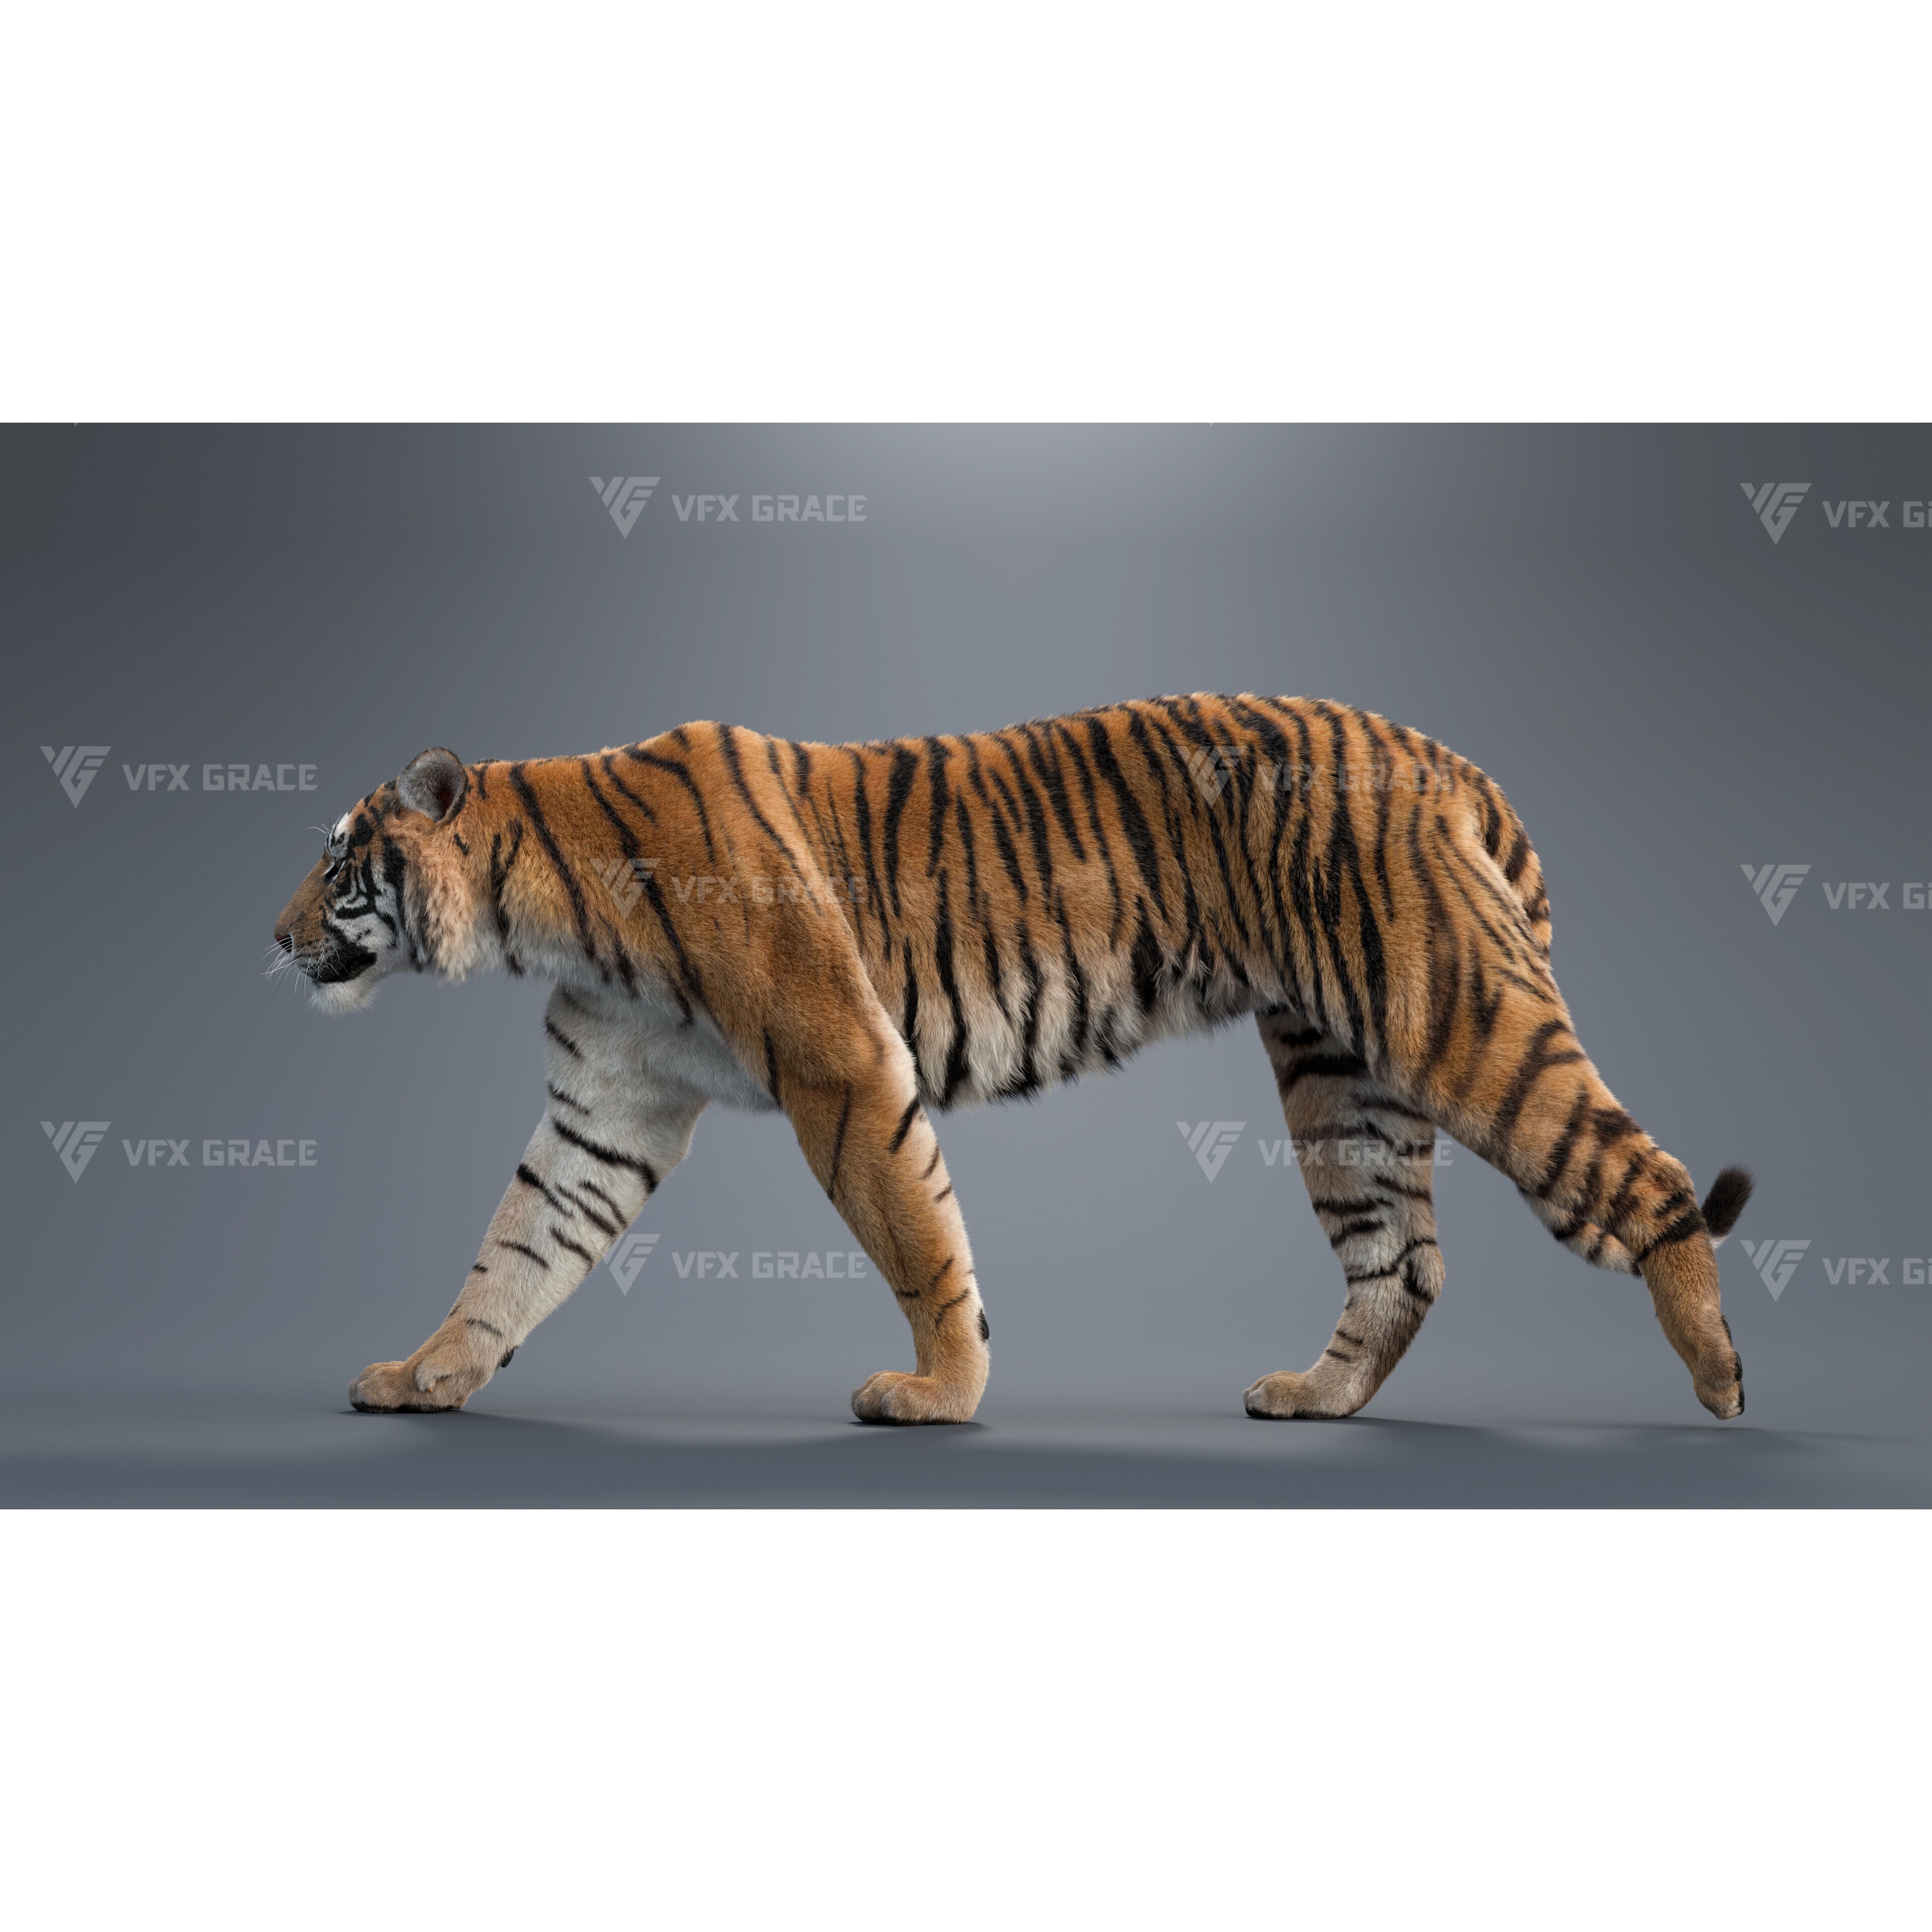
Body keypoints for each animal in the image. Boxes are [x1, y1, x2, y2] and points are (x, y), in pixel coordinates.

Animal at [272, 695, 1753, 1424]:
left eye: (338, 865)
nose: (271, 937)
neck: (539, 912)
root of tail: (1450, 760)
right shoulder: (605, 1105)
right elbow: (515, 1254)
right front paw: (426, 1376)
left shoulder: (838, 1061)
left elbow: (913, 1229)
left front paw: (940, 1392)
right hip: (1340, 1078)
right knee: (1403, 1262)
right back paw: (1313, 1399)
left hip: (1450, 1014)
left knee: (1641, 1171)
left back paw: (1718, 1375)